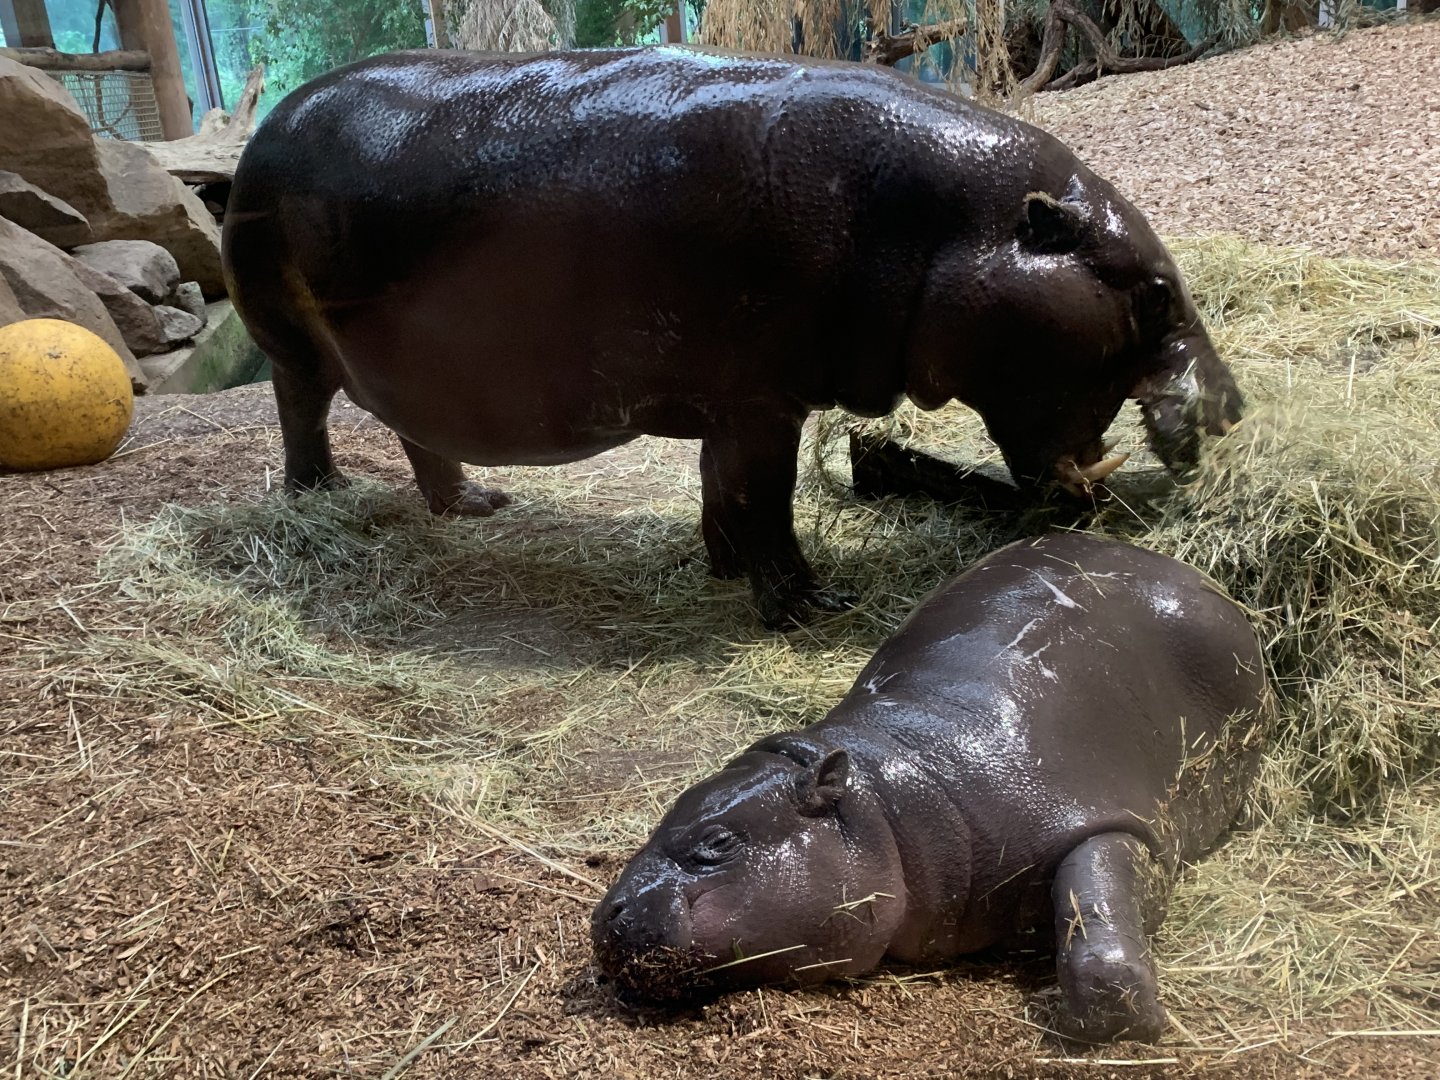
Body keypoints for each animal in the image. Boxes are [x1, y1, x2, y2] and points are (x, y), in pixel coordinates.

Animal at [222, 47, 1243, 627]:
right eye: (1156, 291)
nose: (1232, 406)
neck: (950, 230)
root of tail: (266, 125)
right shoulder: (761, 398)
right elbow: (765, 498)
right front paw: (811, 608)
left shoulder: (734, 401)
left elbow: (724, 491)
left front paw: (720, 574)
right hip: (292, 345)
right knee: (301, 414)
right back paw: (318, 499)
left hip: (409, 368)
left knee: (414, 431)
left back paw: (475, 506)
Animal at [592, 533, 1270, 1042]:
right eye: (661, 817)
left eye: (717, 842)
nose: (607, 914)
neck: (885, 796)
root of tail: (1173, 563)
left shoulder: (1101, 815)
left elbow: (1097, 923)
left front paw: (1136, 1026)